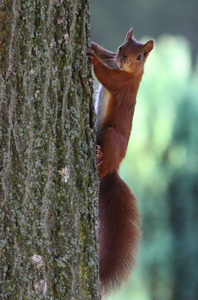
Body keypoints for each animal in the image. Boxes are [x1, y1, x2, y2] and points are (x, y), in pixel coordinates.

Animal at [87, 28, 154, 296]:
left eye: (140, 57)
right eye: (120, 49)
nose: (124, 60)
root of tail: (112, 171)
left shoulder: (124, 83)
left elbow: (108, 78)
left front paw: (93, 61)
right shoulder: (112, 59)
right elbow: (104, 54)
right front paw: (93, 46)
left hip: (112, 136)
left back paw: (98, 157)